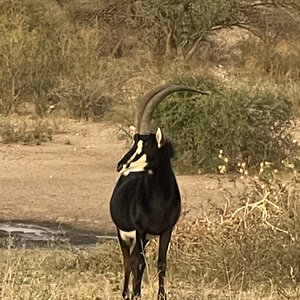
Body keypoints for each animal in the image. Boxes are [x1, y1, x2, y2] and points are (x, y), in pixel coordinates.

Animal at [110, 84, 209, 300]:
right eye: (135, 142)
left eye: (146, 145)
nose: (121, 165)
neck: (159, 201)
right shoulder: (140, 230)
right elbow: (139, 263)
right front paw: (136, 294)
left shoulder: (166, 230)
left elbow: (161, 264)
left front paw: (161, 296)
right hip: (125, 234)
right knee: (129, 261)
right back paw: (126, 293)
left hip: (145, 238)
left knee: (133, 260)